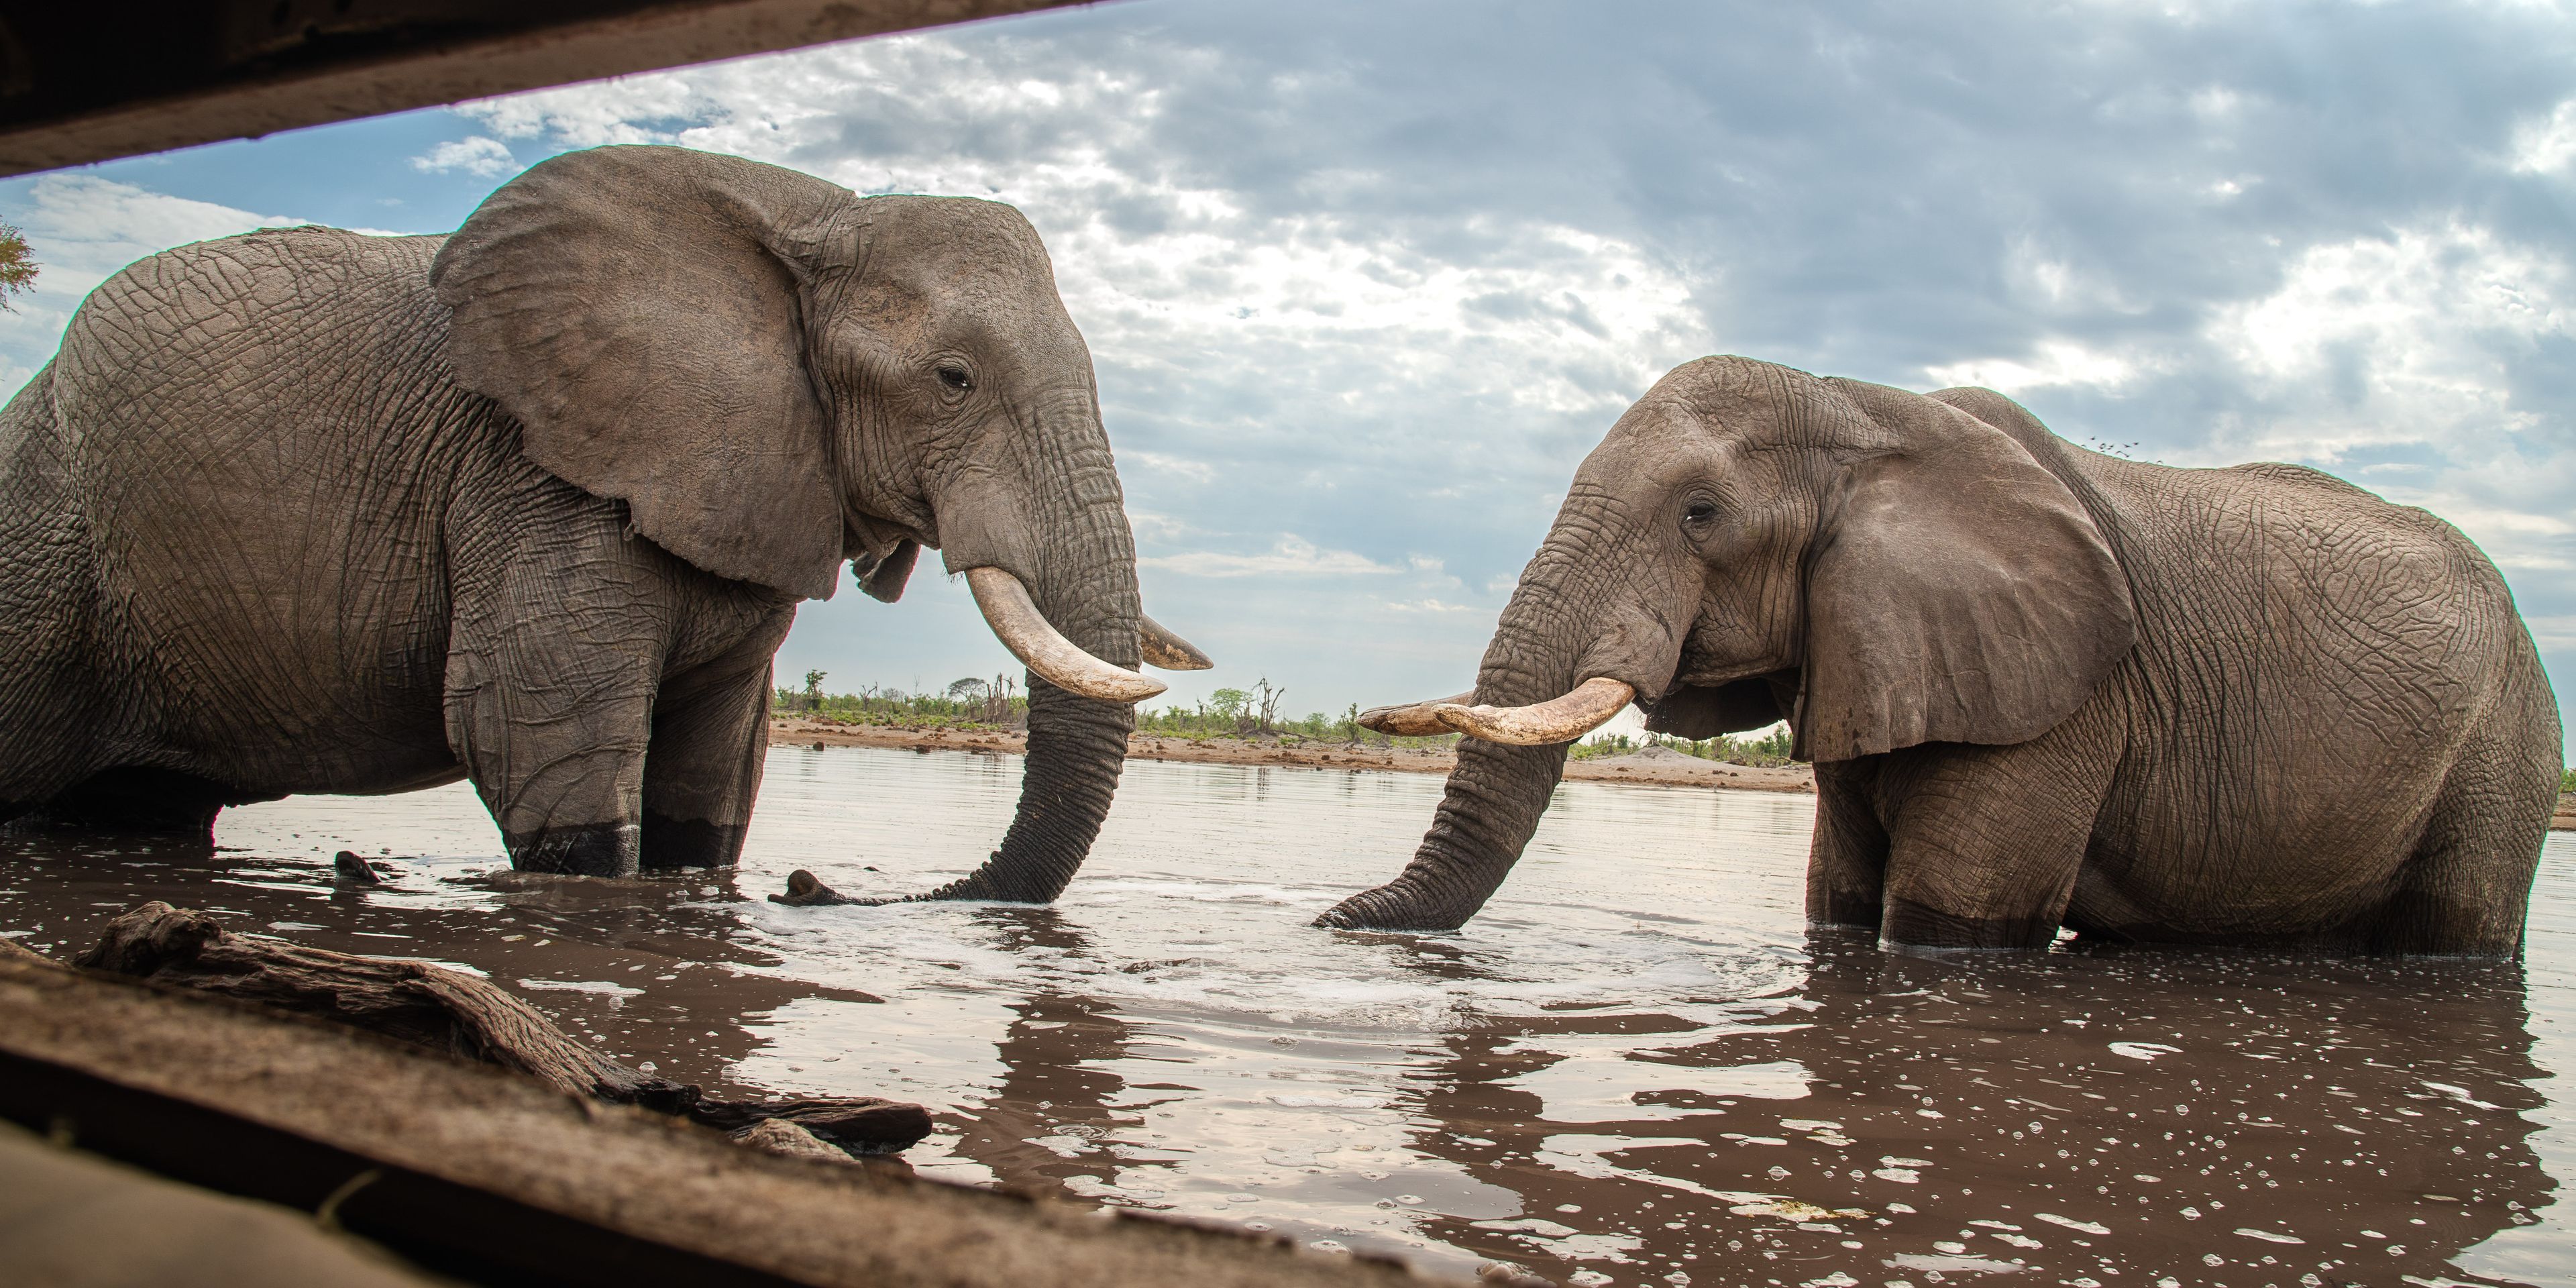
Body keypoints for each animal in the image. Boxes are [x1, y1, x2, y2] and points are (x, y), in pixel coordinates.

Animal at [0, 144, 1210, 885]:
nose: (813, 888)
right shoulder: (530, 472)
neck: (810, 214)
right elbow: (532, 739)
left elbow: (711, 780)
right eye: (954, 380)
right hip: (46, 536)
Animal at [1327, 355, 2561, 954]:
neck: (1866, 414)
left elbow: (1942, 923)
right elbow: (1836, 903)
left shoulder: (2071, 697)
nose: (1329, 920)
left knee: (2454, 931)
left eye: (1701, 516)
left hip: (2509, 741)